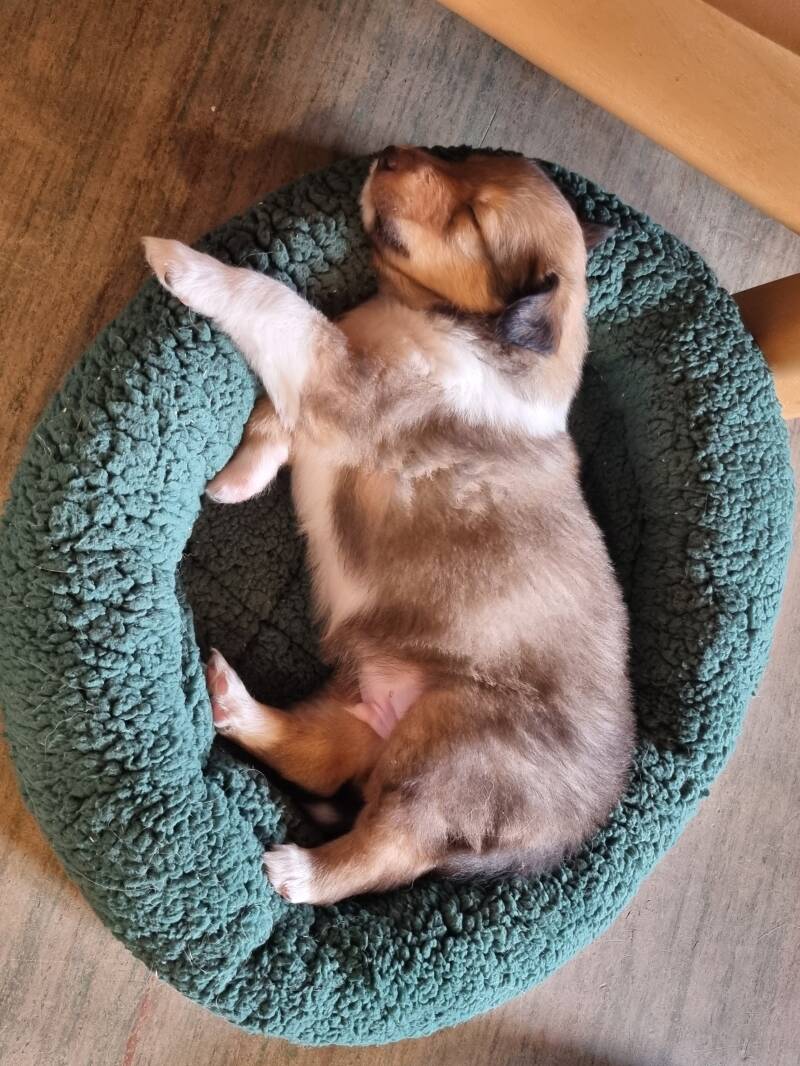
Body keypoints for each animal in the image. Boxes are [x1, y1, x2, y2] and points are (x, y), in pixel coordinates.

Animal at [144, 146, 634, 906]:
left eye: (474, 218)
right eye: (472, 162)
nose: (393, 154)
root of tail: (564, 834)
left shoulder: (342, 381)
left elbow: (276, 303)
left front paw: (181, 261)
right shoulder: (332, 373)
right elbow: (272, 417)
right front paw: (235, 482)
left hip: (451, 748)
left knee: (390, 849)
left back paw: (298, 872)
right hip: (368, 703)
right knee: (319, 757)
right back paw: (229, 700)